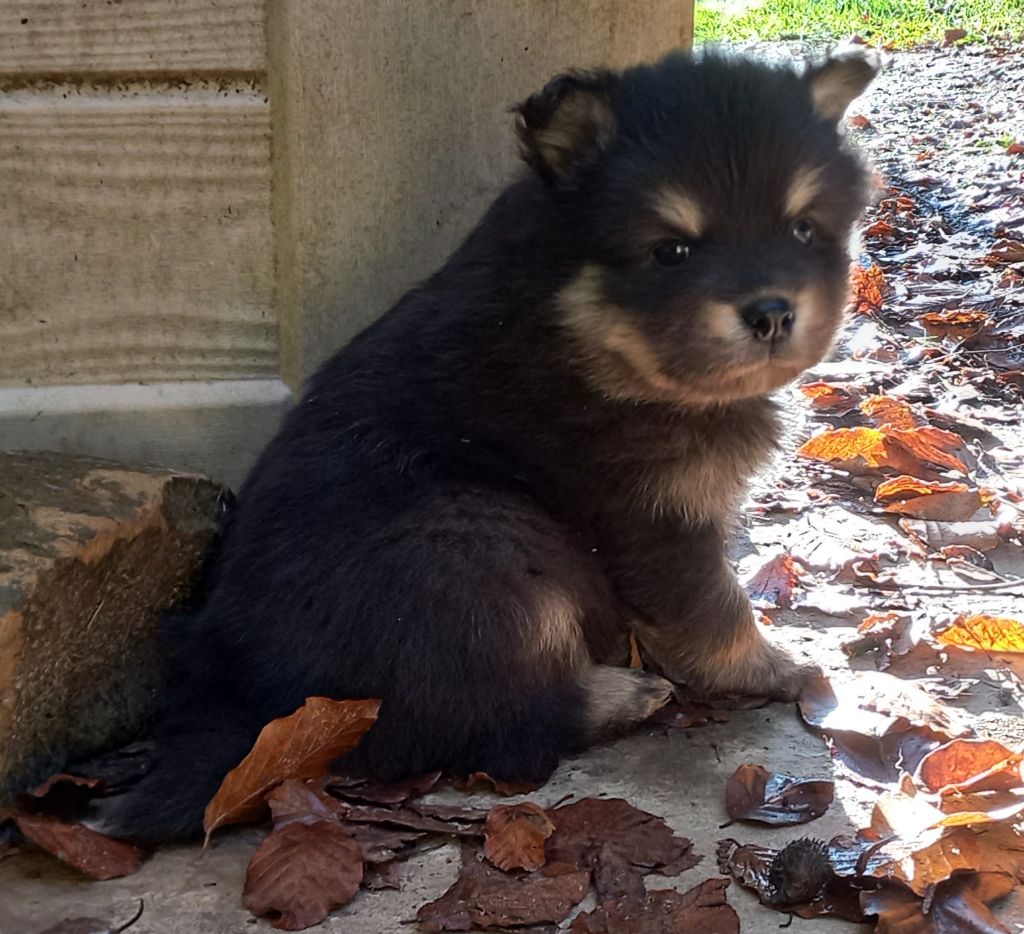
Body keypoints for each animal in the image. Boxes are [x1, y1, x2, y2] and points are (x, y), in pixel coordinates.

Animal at [83, 47, 876, 843]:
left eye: (803, 229)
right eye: (672, 250)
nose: (771, 312)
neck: (577, 326)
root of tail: (242, 701)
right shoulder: (655, 518)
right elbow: (714, 611)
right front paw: (777, 666)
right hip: (481, 544)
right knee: (469, 723)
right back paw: (619, 695)